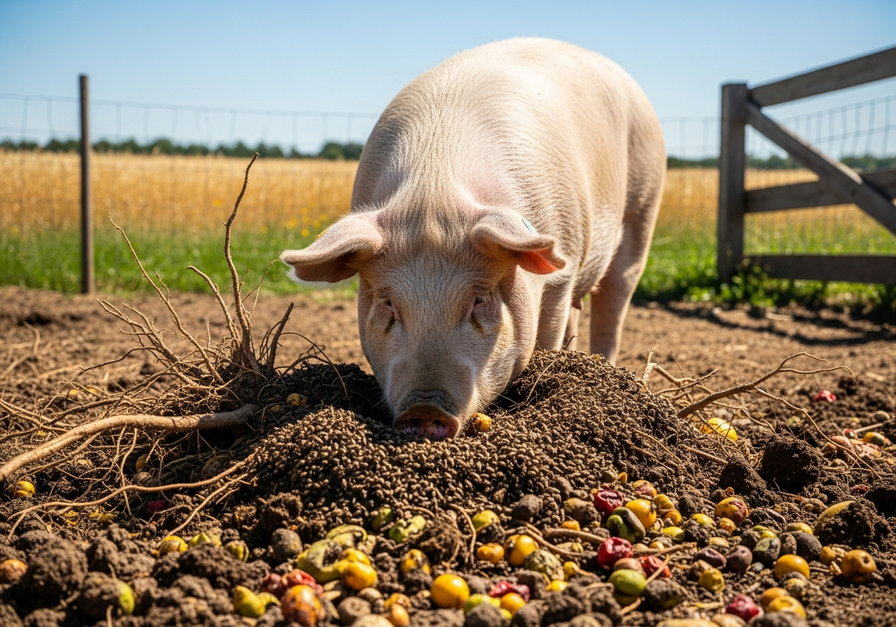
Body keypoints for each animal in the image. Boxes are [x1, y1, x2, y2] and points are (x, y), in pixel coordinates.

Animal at [280, 38, 665, 440]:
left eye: (479, 299)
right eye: (388, 302)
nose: (424, 409)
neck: (434, 188)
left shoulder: (564, 266)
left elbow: (548, 335)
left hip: (643, 206)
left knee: (615, 300)